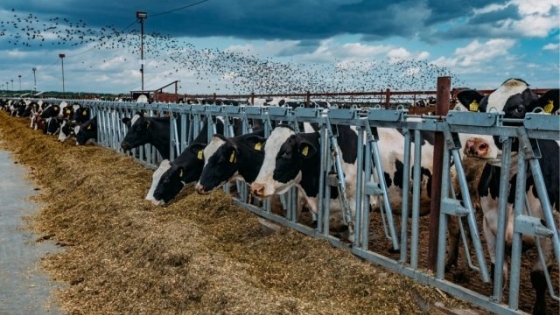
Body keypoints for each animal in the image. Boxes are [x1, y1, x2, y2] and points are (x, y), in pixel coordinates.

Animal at [458, 78, 556, 315]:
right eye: (481, 108)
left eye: (519, 109)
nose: (475, 144)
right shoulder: (490, 226)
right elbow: (498, 270)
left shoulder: (549, 232)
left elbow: (540, 276)